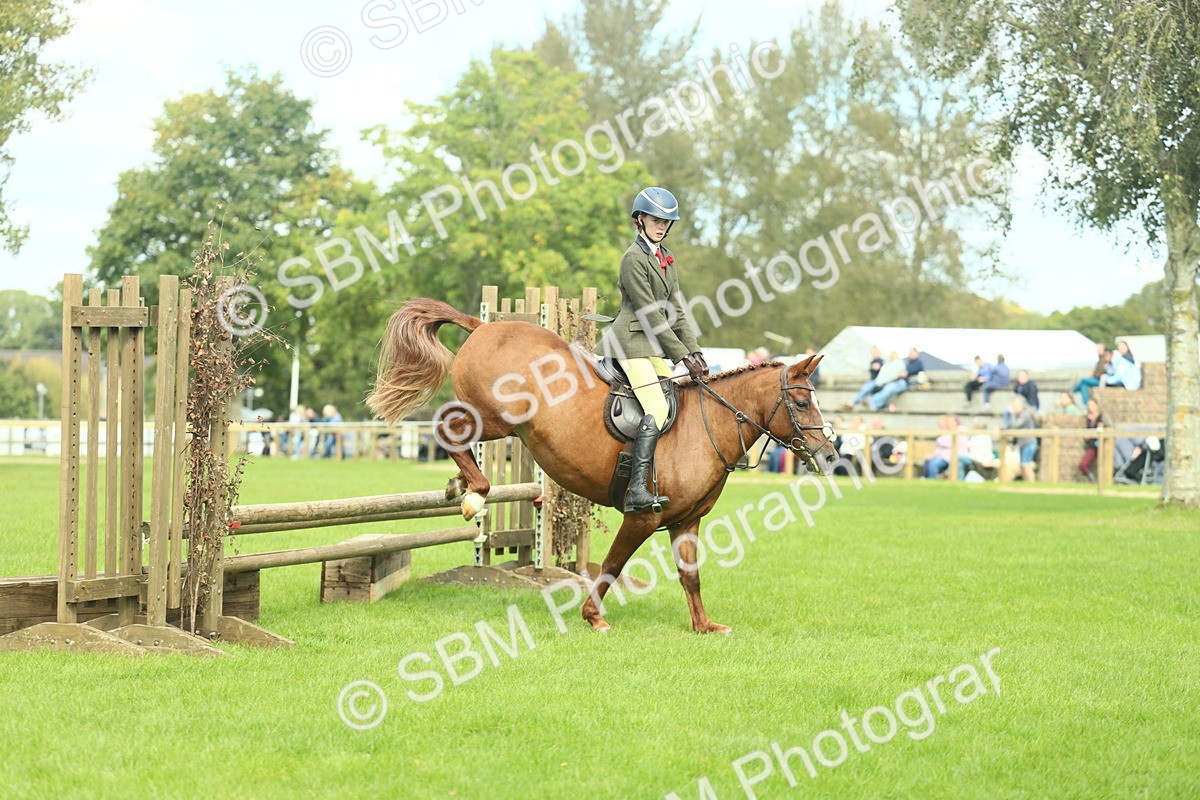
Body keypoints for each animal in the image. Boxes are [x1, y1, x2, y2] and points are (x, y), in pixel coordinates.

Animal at [366, 298, 838, 633]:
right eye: (801, 403)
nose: (831, 456)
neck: (706, 426)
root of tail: (487, 326)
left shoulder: (687, 522)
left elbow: (691, 577)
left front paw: (704, 626)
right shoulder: (643, 518)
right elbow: (612, 565)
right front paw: (593, 617)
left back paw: (457, 486)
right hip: (496, 420)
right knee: (447, 429)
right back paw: (472, 495)